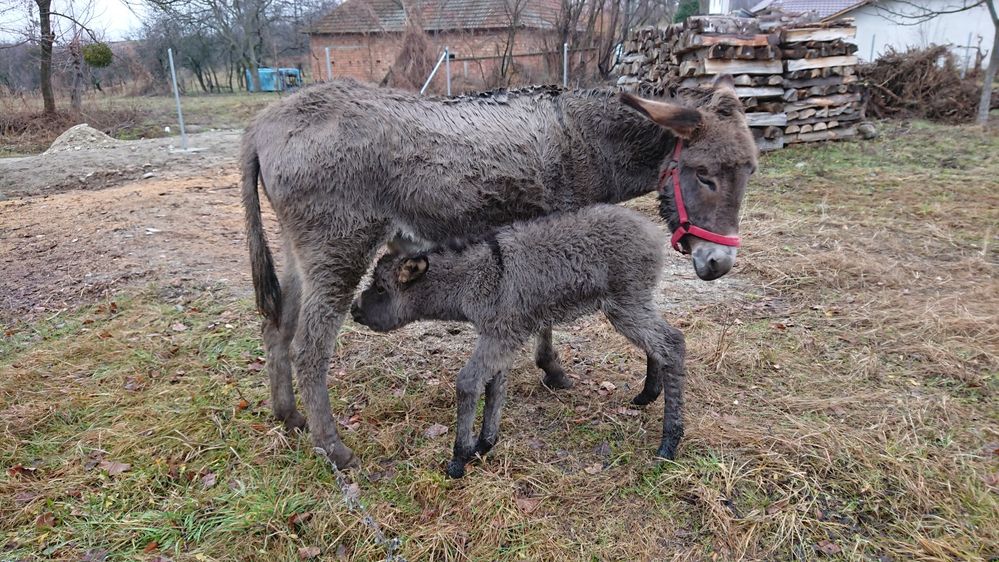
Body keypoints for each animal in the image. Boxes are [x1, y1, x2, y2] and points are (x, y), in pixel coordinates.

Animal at [352, 203, 688, 474]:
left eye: (380, 288)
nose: (354, 310)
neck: (480, 274)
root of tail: (648, 229)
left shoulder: (499, 336)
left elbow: (468, 383)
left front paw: (459, 458)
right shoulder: (500, 338)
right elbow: (494, 386)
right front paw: (483, 445)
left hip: (625, 303)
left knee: (673, 343)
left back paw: (669, 442)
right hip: (630, 305)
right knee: (659, 343)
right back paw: (648, 394)